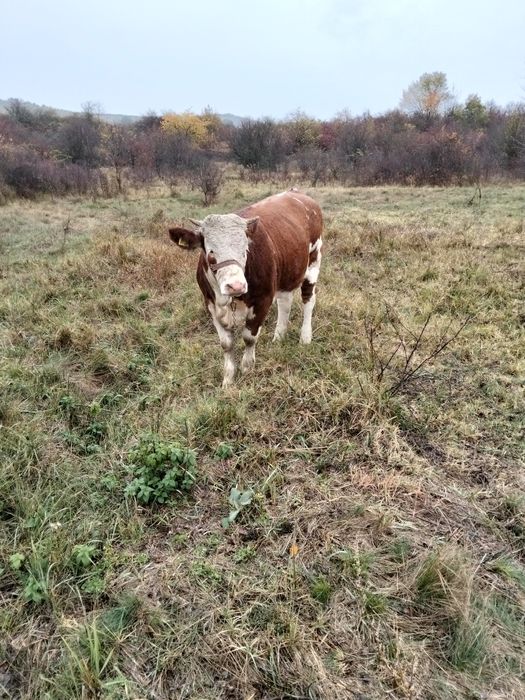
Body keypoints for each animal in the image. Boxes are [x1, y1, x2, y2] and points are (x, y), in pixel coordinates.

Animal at [169, 189, 323, 387]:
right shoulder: (210, 304)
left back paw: (305, 337)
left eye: (245, 250)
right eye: (210, 252)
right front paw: (228, 379)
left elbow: (249, 337)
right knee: (285, 302)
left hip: (314, 261)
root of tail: (296, 192)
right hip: (287, 272)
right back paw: (279, 337)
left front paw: (247, 369)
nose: (236, 285)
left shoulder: (263, 300)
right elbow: (226, 343)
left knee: (308, 298)